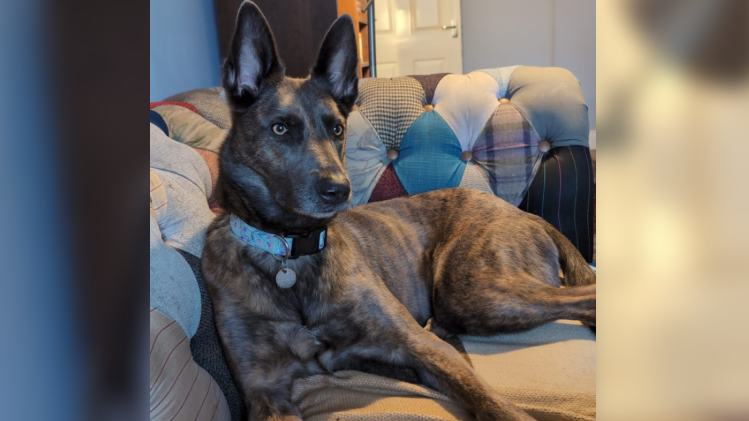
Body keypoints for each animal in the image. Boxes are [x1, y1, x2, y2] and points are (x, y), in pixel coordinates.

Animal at [200, 1, 596, 418]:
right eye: (280, 129)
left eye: (337, 129)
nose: (339, 191)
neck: (291, 253)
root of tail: (526, 215)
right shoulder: (264, 390)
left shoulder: (420, 345)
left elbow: (493, 403)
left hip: (472, 291)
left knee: (586, 294)